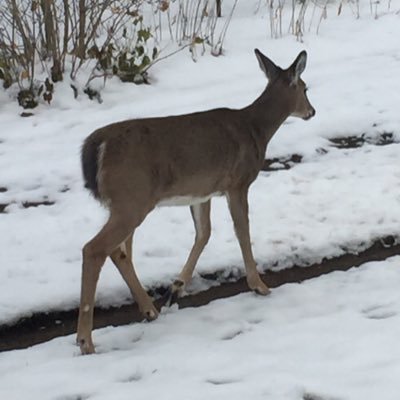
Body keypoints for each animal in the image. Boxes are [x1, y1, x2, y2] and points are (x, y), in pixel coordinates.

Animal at [77, 49, 316, 354]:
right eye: (305, 88)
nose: (312, 111)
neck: (256, 130)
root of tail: (97, 147)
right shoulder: (237, 182)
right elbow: (242, 230)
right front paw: (259, 285)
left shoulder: (203, 191)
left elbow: (204, 233)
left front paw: (176, 287)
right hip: (131, 198)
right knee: (94, 249)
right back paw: (85, 340)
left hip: (127, 202)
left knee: (119, 252)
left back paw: (149, 309)